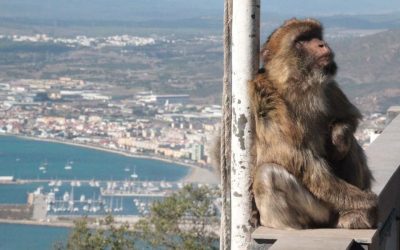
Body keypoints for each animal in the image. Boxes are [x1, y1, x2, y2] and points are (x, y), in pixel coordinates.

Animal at [248, 18, 376, 229]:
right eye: (302, 39)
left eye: (316, 36)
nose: (322, 44)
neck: (300, 86)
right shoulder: (266, 100)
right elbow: (303, 161)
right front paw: (367, 203)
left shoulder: (329, 86)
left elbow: (350, 117)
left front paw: (338, 137)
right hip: (320, 209)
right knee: (266, 175)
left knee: (350, 146)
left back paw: (351, 214)